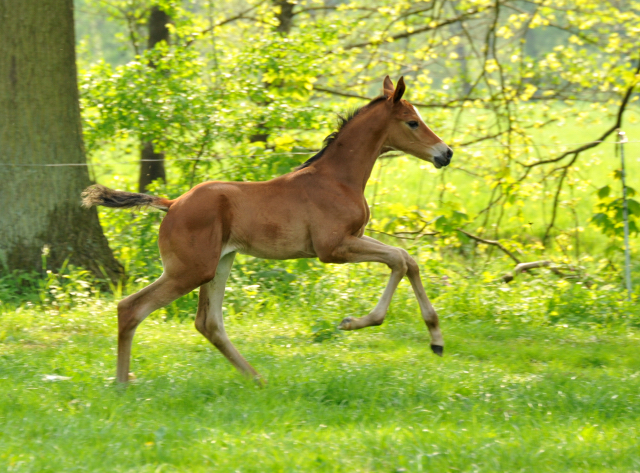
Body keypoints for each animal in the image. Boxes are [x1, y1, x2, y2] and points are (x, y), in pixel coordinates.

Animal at [82, 75, 452, 382]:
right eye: (413, 122)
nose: (445, 153)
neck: (337, 179)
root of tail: (172, 204)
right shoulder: (332, 249)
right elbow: (398, 259)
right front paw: (355, 322)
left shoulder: (354, 238)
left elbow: (408, 259)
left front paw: (436, 339)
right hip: (190, 270)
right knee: (131, 308)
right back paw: (121, 384)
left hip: (218, 264)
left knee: (208, 323)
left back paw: (257, 379)